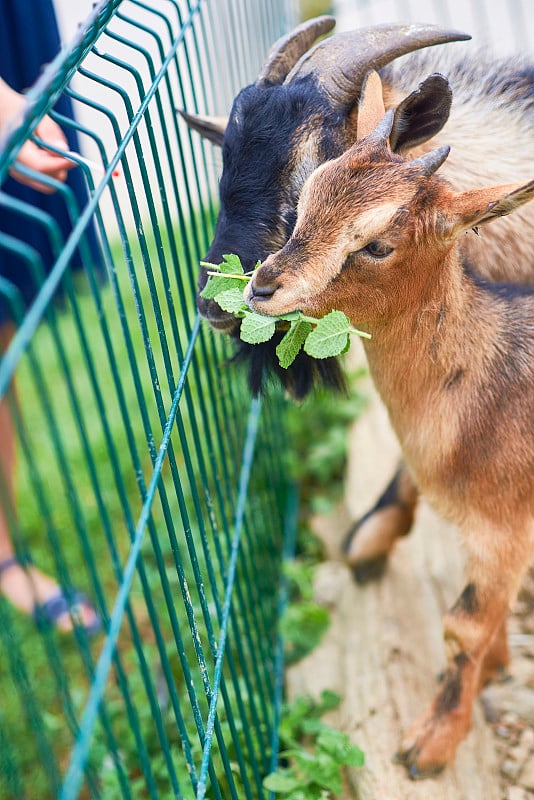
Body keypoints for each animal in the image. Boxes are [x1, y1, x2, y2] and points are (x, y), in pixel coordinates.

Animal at [245, 72, 534, 780]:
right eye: (306, 197)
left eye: (378, 244)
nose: (263, 285)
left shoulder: (507, 529)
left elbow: (463, 625)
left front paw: (430, 743)